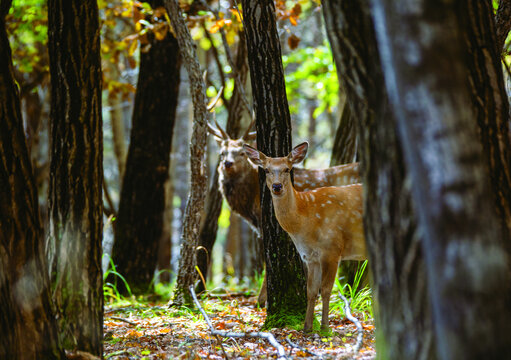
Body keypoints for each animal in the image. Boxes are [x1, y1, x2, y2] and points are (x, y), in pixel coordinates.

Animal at [207, 121, 360, 306]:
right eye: (222, 153)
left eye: (242, 153)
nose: (227, 164)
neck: (250, 204)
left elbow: (267, 261)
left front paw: (262, 300)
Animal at [245, 142, 368, 334]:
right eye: (266, 170)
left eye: (287, 169)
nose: (277, 186)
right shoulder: (310, 256)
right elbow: (311, 291)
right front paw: (307, 327)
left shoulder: (332, 248)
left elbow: (326, 289)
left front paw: (325, 327)